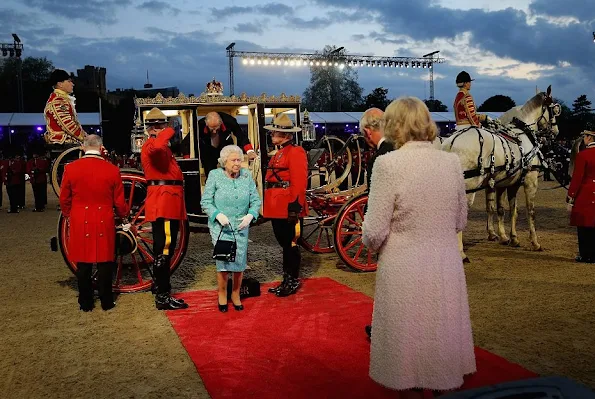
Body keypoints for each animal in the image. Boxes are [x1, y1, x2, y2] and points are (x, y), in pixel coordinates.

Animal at [442, 86, 564, 260]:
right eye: (554, 110)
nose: (555, 131)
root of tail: (450, 143)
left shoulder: (508, 183)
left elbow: (507, 210)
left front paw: (510, 238)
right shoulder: (530, 179)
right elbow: (530, 211)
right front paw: (534, 242)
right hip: (469, 187)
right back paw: (461, 253)